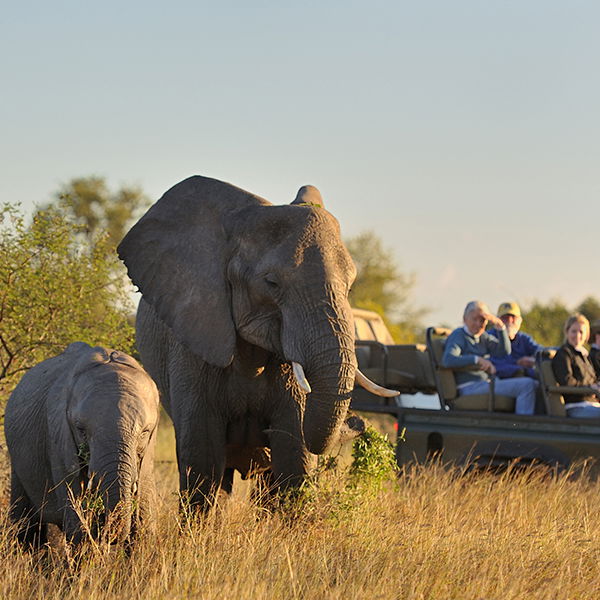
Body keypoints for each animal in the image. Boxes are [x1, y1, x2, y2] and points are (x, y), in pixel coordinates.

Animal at [5, 342, 159, 548]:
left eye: (144, 432)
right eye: (81, 430)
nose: (110, 537)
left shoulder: (147, 457)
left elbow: (143, 526)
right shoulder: (58, 436)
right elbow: (77, 519)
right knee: (26, 529)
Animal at [117, 176, 394, 508]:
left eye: (350, 287)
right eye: (271, 283)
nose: (359, 423)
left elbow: (294, 457)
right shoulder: (194, 339)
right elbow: (201, 458)